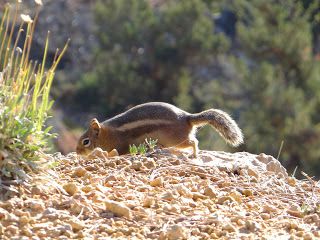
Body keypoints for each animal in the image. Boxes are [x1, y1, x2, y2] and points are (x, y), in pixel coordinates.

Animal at [77, 101, 242, 157]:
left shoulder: (120, 144)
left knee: (193, 142)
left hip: (175, 140)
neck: (108, 134)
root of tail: (186, 117)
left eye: (86, 142)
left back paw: (194, 154)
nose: (77, 152)